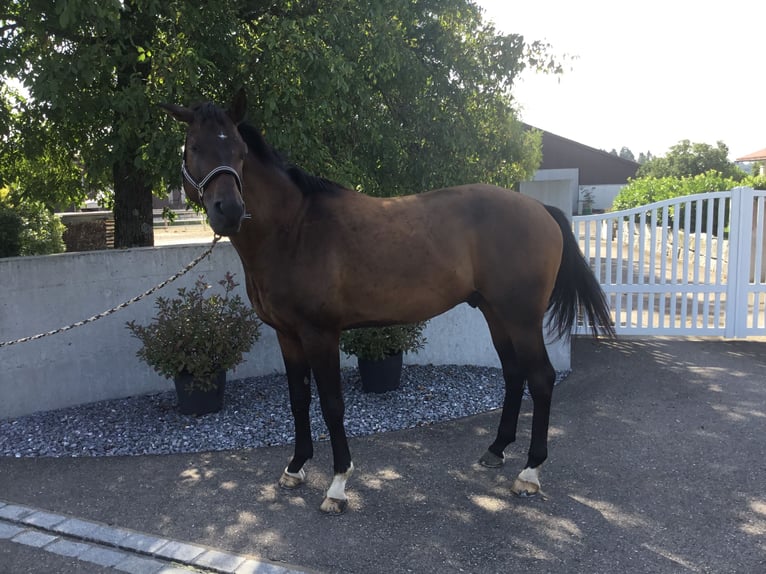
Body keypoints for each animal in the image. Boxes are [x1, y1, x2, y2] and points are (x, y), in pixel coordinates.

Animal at [162, 91, 616, 516]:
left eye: (239, 151)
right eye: (194, 147)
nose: (228, 211)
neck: (295, 228)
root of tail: (539, 208)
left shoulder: (320, 335)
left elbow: (332, 405)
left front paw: (337, 485)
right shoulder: (287, 335)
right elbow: (298, 399)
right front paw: (295, 468)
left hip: (521, 318)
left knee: (541, 378)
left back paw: (530, 472)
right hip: (495, 314)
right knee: (513, 374)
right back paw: (496, 450)